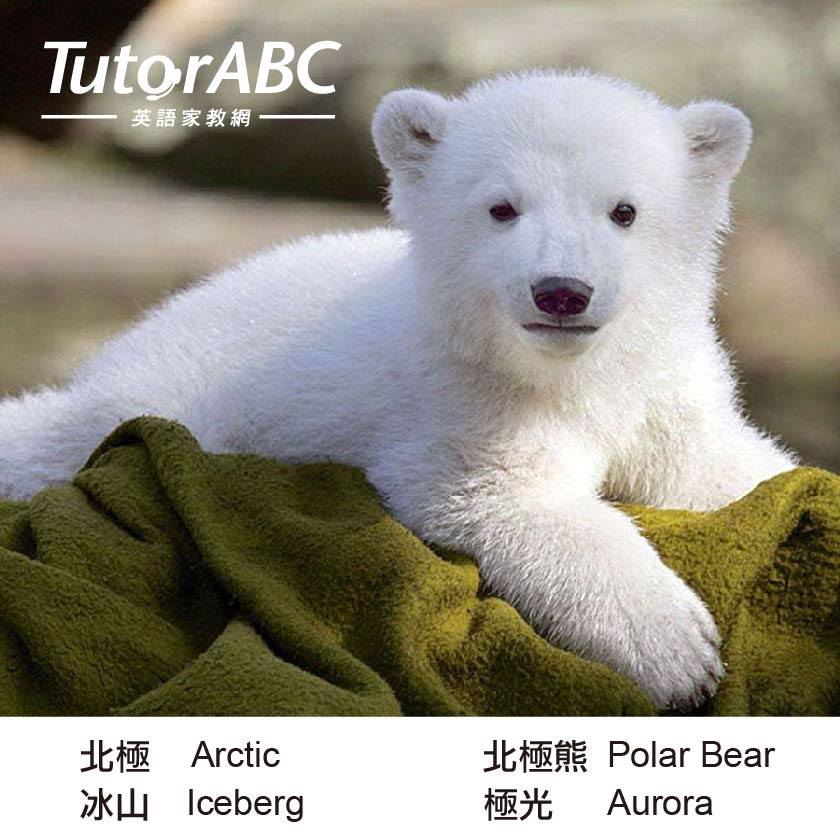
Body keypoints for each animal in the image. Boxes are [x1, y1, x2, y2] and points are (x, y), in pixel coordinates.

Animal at [0, 70, 795, 708]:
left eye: (625, 210)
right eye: (502, 207)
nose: (562, 291)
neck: (569, 372)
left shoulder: (661, 387)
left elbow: (719, 465)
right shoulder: (460, 400)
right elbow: (507, 499)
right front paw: (677, 652)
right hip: (173, 391)